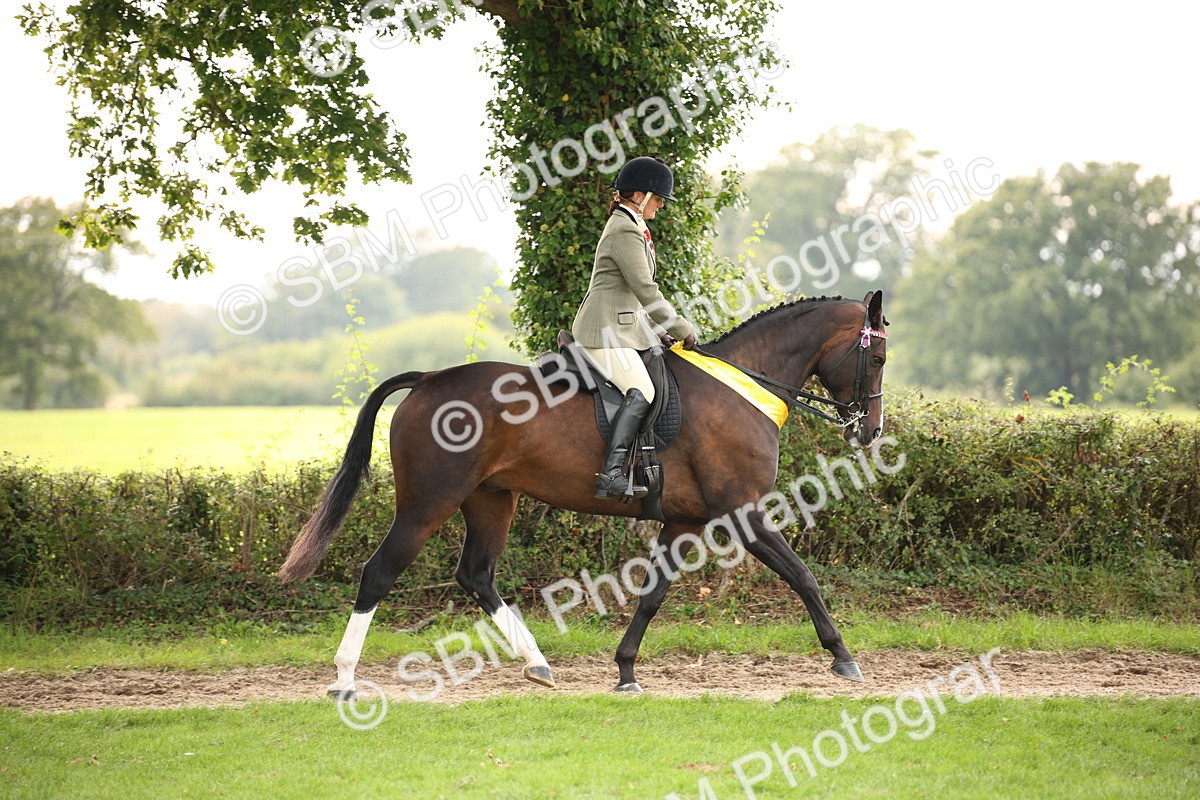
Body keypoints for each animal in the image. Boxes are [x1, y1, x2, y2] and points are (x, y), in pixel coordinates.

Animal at [280, 291, 888, 696]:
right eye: (878, 358)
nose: (869, 432)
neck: (744, 386)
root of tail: (429, 379)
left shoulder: (683, 521)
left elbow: (652, 595)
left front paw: (625, 670)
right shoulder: (743, 512)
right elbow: (802, 576)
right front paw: (843, 656)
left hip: (491, 499)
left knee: (476, 574)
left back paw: (538, 663)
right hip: (428, 504)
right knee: (378, 573)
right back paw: (345, 679)